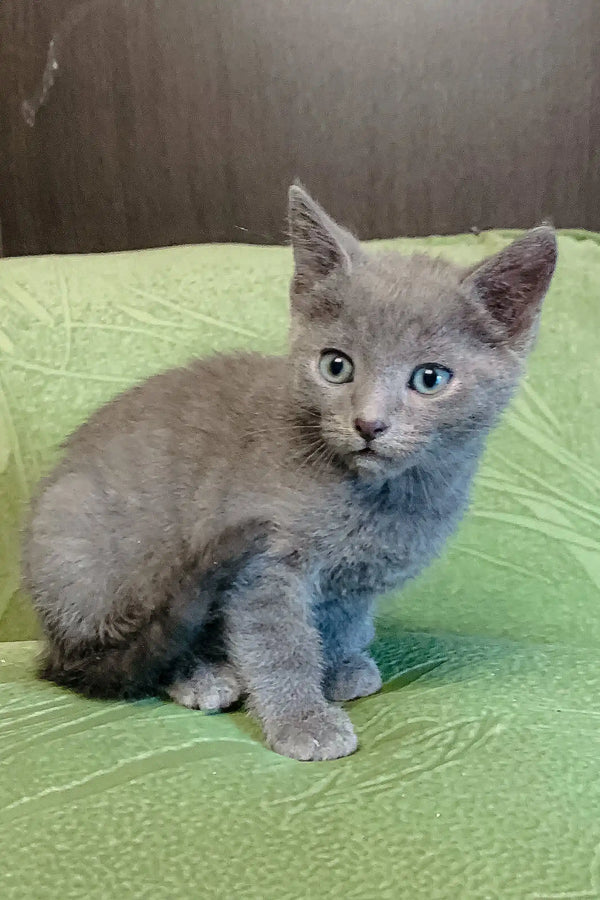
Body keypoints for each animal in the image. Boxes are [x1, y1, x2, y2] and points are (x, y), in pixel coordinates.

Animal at [23, 188, 556, 760]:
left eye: (430, 379)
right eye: (336, 366)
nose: (368, 423)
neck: (377, 496)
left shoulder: (355, 581)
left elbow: (340, 623)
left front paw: (339, 668)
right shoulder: (264, 567)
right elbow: (280, 644)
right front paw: (302, 720)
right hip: (100, 556)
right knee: (130, 647)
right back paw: (199, 675)